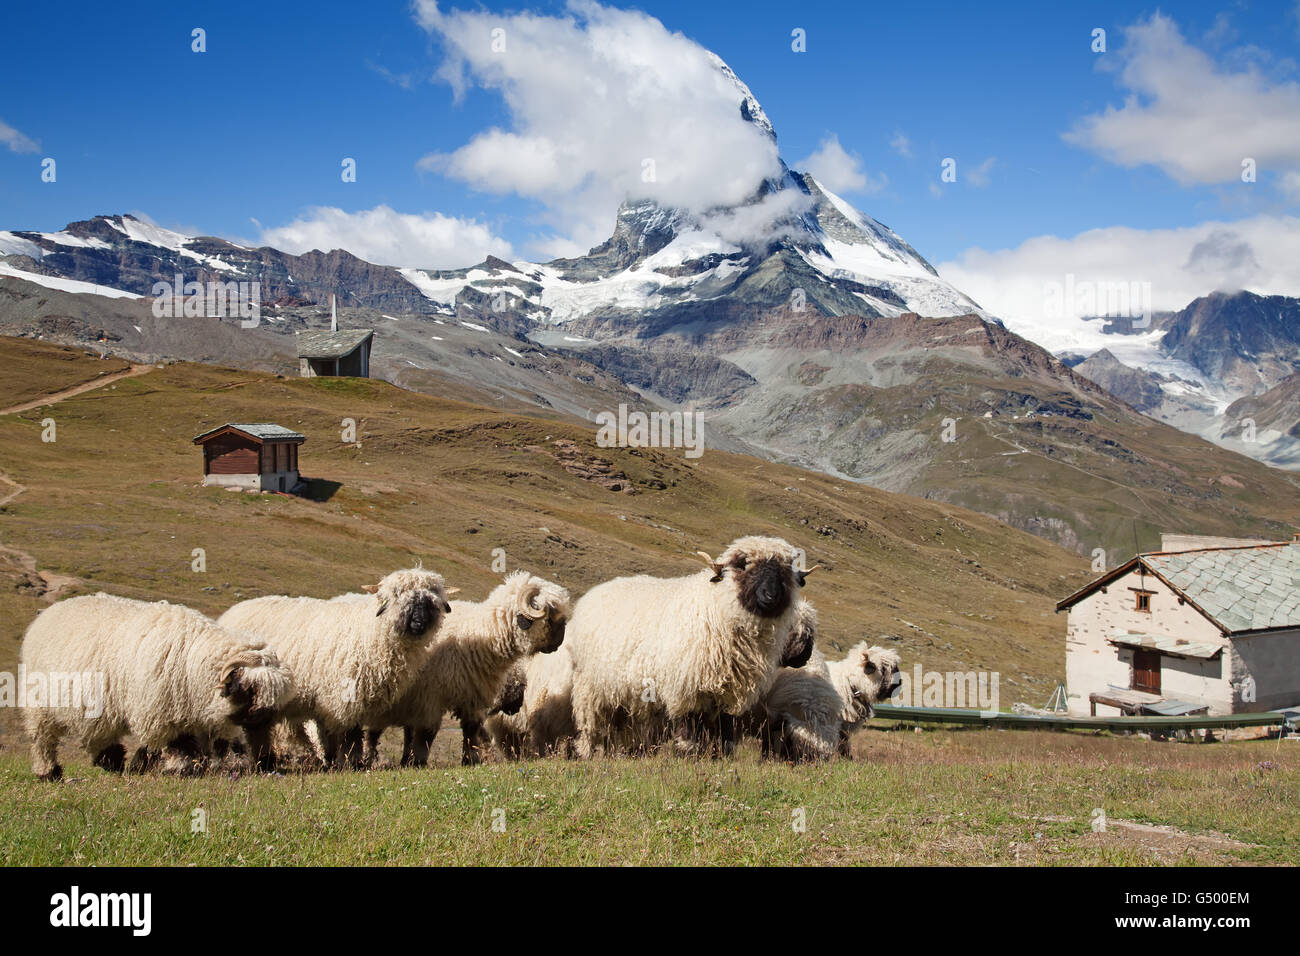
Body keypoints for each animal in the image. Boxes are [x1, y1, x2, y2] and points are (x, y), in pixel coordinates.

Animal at [20, 595, 295, 780]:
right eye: (249, 689)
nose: (262, 718)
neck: (192, 660)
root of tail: (48, 612)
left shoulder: (194, 713)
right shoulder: (162, 712)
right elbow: (178, 743)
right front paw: (180, 769)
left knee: (98, 733)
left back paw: (111, 762)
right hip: (39, 707)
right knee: (41, 739)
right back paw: (48, 773)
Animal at [218, 567, 452, 770]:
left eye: (432, 601)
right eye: (397, 594)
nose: (419, 624)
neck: (371, 633)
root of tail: (231, 612)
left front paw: (335, 760)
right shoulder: (346, 694)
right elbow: (351, 734)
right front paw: (352, 763)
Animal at [364, 572, 572, 764]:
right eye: (550, 617)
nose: (560, 642)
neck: (482, 633)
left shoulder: (473, 695)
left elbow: (470, 732)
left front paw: (470, 761)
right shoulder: (431, 696)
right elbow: (427, 735)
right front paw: (419, 762)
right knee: (373, 734)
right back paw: (367, 761)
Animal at [566, 535, 811, 759]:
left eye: (785, 571)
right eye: (743, 565)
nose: (770, 596)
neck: (716, 608)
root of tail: (594, 593)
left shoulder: (730, 690)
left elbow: (725, 727)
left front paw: (723, 756)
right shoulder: (686, 686)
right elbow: (689, 725)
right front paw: (688, 753)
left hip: (623, 692)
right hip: (591, 688)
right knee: (591, 725)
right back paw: (587, 753)